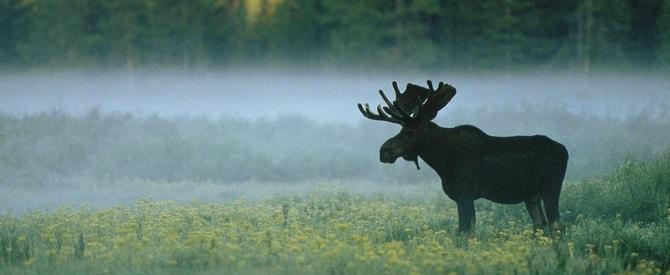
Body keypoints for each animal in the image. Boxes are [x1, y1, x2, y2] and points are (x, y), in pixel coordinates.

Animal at [360, 80, 568, 235]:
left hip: (551, 187)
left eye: (410, 131)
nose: (384, 151)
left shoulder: (465, 194)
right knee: (540, 225)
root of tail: (565, 151)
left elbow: (464, 232)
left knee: (556, 224)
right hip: (531, 196)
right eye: (400, 130)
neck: (440, 160)